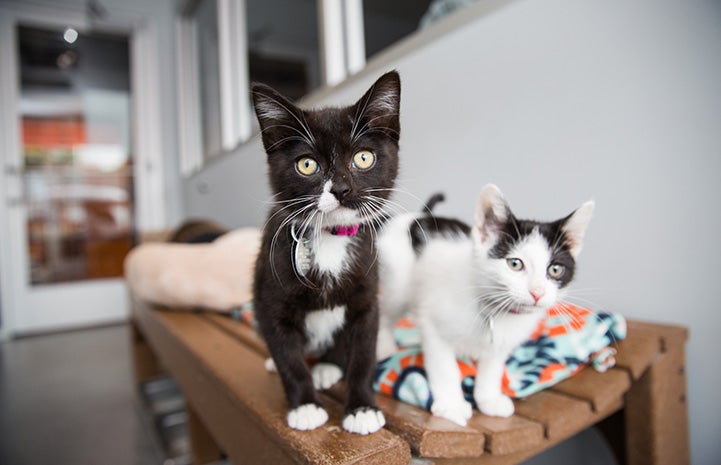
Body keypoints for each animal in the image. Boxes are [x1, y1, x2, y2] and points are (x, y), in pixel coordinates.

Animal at [252, 70, 400, 434]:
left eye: (363, 157)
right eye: (307, 165)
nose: (342, 189)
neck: (331, 238)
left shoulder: (367, 298)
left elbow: (362, 355)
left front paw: (362, 408)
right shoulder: (269, 300)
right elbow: (288, 357)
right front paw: (304, 405)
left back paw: (327, 367)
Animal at [374, 184, 592, 424]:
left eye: (555, 269)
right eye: (515, 264)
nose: (537, 292)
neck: (495, 309)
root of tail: (419, 215)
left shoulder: (501, 343)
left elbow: (492, 368)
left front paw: (489, 398)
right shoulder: (433, 324)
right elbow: (445, 368)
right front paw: (451, 405)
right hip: (399, 281)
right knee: (386, 311)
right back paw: (385, 347)